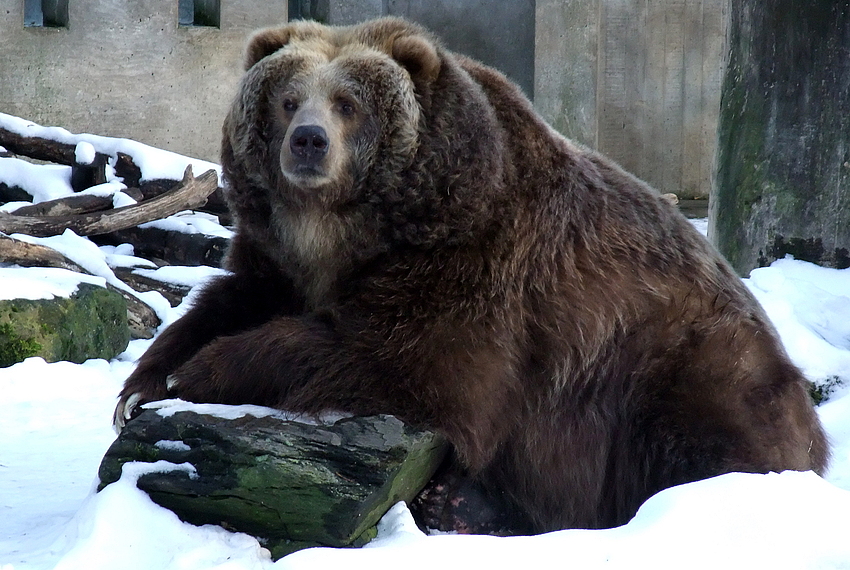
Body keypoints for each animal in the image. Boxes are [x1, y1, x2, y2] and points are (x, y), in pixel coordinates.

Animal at [112, 16, 828, 532]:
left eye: (347, 103)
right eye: (288, 100)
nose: (308, 141)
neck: (341, 233)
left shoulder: (478, 263)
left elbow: (405, 360)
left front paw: (202, 371)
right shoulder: (278, 257)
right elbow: (228, 298)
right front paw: (143, 384)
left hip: (683, 362)